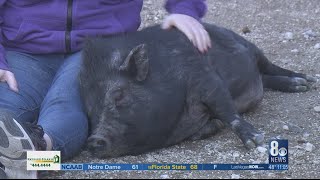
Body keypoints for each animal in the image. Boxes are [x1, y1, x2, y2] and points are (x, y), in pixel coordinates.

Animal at [79, 23, 316, 158]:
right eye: (89, 110)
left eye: (119, 95)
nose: (93, 140)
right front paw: (208, 129)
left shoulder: (205, 77)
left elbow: (226, 108)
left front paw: (255, 141)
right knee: (266, 79)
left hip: (250, 46)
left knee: (270, 67)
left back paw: (306, 82)